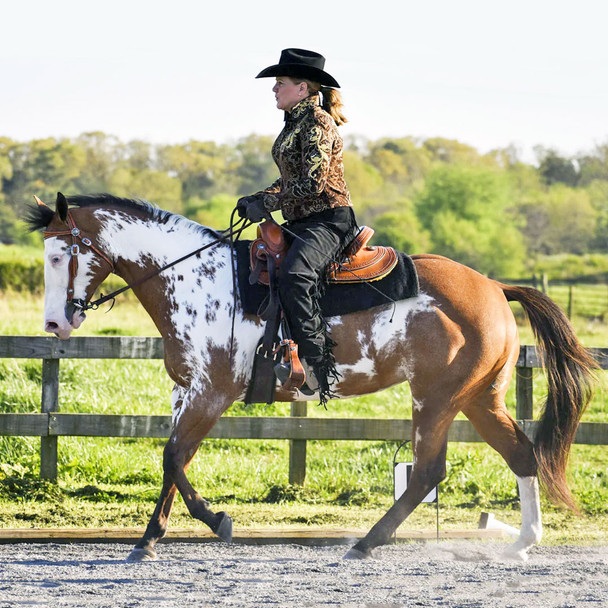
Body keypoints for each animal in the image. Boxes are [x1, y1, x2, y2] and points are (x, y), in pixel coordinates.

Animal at [28, 192, 592, 564]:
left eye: (59, 255)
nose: (54, 324)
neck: (194, 280)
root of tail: (495, 286)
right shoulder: (184, 391)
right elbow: (173, 461)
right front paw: (148, 539)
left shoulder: (211, 393)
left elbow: (173, 457)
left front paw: (216, 521)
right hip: (479, 398)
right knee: (520, 453)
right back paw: (521, 543)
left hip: (435, 399)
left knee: (428, 472)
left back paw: (366, 543)